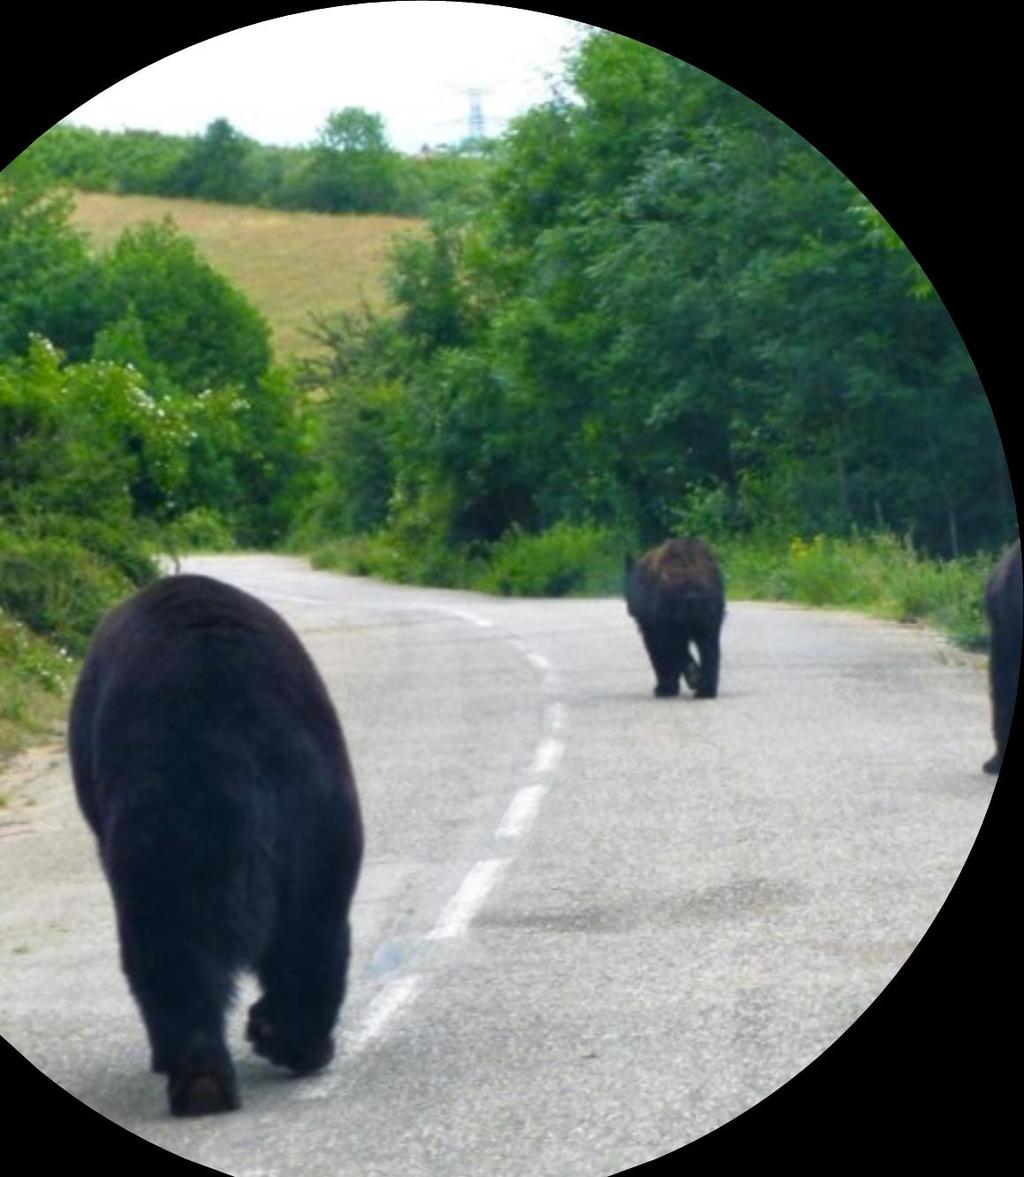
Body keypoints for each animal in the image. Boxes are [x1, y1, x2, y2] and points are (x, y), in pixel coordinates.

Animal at [67, 574, 364, 1115]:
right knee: (314, 930)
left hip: (167, 818)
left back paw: (199, 1079)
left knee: (170, 943)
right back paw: (293, 1042)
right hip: (321, 814)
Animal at [626, 539, 729, 696]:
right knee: (710, 645)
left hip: (671, 610)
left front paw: (664, 686)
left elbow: (656, 648)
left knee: (674, 646)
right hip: (711, 609)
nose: (629, 610)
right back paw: (706, 690)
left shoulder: (652, 622)